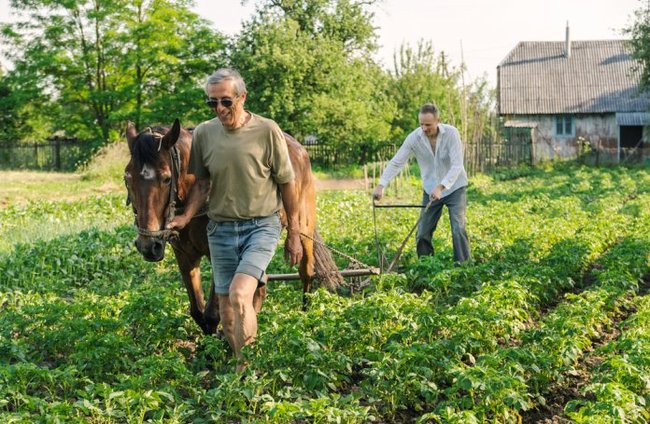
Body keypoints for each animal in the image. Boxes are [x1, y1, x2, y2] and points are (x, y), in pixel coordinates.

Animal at [124, 118, 316, 334]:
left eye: (166, 178)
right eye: (127, 178)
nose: (148, 246)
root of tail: (299, 149)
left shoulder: (220, 253)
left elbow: (211, 314)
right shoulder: (184, 255)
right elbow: (198, 312)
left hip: (304, 228)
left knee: (306, 271)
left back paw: (305, 315)